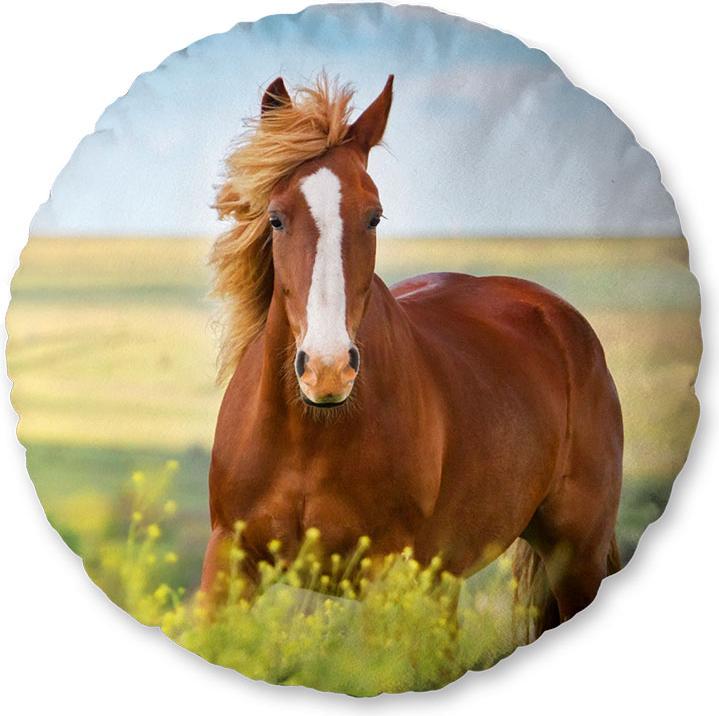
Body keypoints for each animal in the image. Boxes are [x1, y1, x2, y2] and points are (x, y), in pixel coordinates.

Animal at [201, 73, 623, 636]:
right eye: (275, 219)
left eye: (374, 217)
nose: (327, 370)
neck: (309, 436)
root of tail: (559, 318)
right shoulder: (228, 560)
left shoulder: (385, 575)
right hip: (445, 580)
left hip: (576, 557)